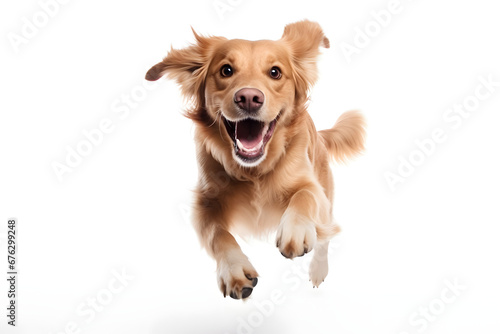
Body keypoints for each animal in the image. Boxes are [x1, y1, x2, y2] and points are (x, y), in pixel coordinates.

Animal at [146, 19, 366, 298]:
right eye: (226, 70)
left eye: (275, 72)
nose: (249, 98)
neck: (254, 172)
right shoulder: (204, 202)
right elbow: (216, 233)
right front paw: (234, 269)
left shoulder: (311, 185)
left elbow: (304, 194)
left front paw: (295, 230)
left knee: (326, 235)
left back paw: (318, 270)